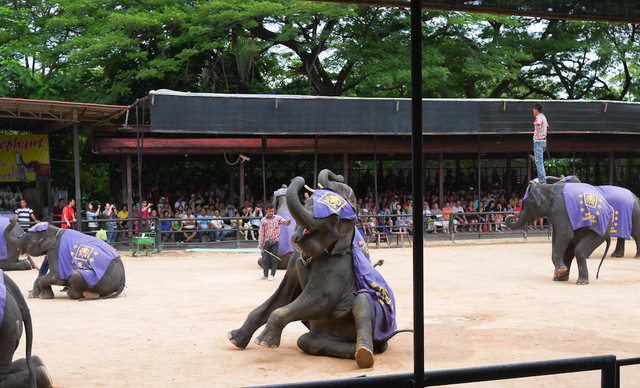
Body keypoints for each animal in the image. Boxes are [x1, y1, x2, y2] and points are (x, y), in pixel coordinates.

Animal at [228, 170, 402, 366]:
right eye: (307, 204)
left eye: (333, 220)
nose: (294, 180)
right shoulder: (294, 263)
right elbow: (282, 296)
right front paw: (234, 338)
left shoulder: (337, 268)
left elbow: (320, 299)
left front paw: (264, 342)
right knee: (306, 341)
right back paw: (357, 351)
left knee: (362, 300)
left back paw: (365, 354)